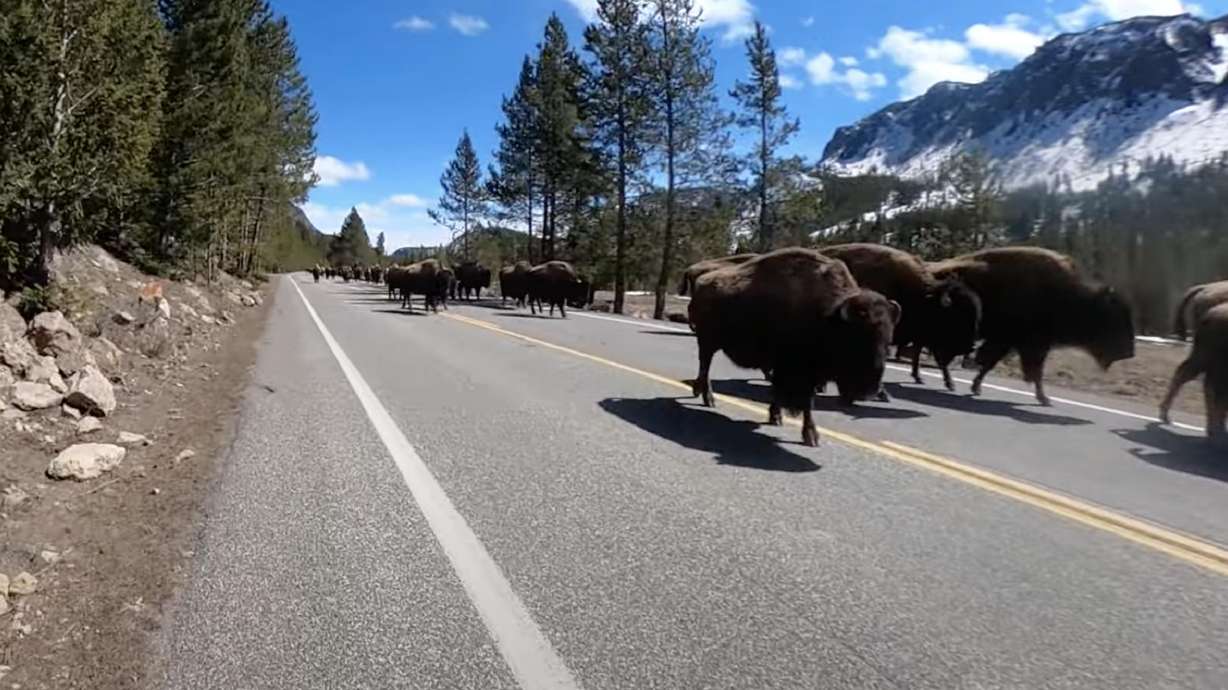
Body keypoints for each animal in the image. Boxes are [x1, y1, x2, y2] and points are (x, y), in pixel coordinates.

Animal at [688, 248, 901, 447]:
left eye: (888, 341)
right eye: (856, 339)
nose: (869, 391)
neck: (828, 315)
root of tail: (702, 282)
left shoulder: (794, 371)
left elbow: (781, 393)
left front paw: (777, 418)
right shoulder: (799, 372)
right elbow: (805, 402)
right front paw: (811, 436)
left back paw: (699, 392)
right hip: (707, 342)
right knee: (705, 367)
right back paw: (708, 398)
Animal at [930, 247, 1135, 406]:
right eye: (1112, 318)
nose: (1129, 352)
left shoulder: (1011, 343)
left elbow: (990, 364)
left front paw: (976, 388)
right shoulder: (1028, 346)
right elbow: (1033, 372)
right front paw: (1044, 399)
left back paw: (948, 383)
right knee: (942, 357)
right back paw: (948, 383)